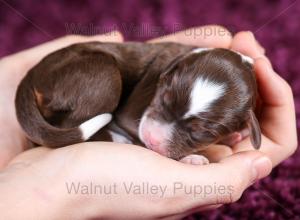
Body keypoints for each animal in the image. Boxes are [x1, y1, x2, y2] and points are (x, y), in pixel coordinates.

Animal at [15, 42, 262, 164]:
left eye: (202, 134)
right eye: (162, 98)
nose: (152, 138)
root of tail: (31, 74)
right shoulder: (130, 115)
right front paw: (190, 158)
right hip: (105, 74)